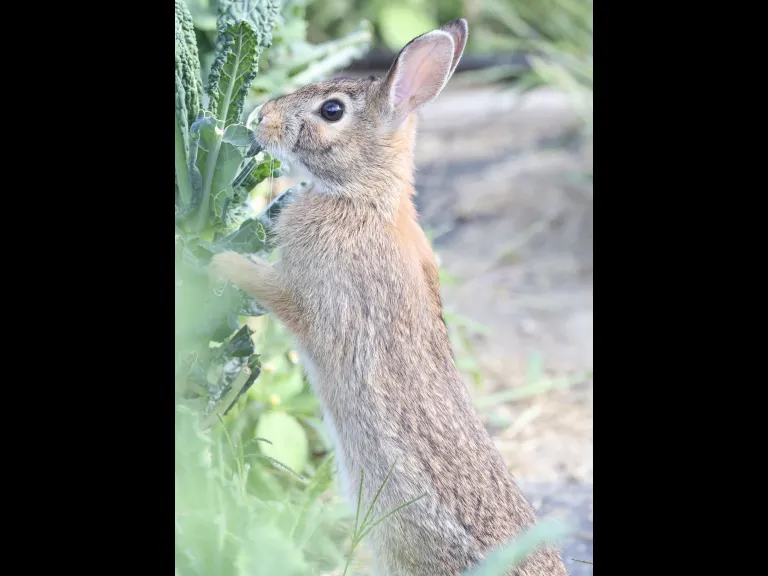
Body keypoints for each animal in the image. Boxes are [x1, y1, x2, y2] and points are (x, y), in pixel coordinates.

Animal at [210, 19, 568, 576]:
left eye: (331, 110)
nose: (261, 117)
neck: (364, 197)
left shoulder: (315, 299)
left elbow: (273, 293)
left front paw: (214, 259)